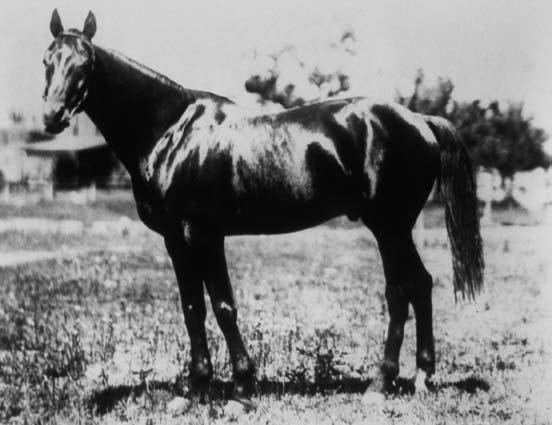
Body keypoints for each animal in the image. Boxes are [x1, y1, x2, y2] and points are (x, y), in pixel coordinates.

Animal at [43, 9, 484, 400]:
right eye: (48, 60)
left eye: (86, 62)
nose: (52, 117)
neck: (171, 132)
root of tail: (421, 120)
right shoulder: (176, 241)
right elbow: (192, 308)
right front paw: (196, 389)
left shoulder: (203, 235)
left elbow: (222, 306)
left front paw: (240, 389)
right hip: (393, 228)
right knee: (416, 286)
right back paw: (417, 376)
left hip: (390, 226)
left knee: (404, 290)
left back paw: (385, 382)